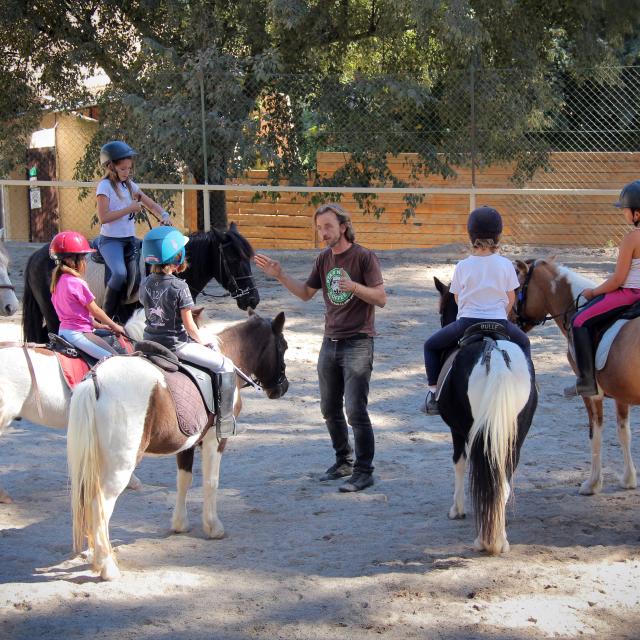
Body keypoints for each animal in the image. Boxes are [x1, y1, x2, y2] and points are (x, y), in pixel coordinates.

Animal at [67, 310, 288, 580]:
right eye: (283, 346)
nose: (283, 387)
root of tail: (96, 381)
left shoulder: (188, 444)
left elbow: (184, 480)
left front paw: (180, 524)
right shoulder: (215, 440)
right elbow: (210, 482)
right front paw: (213, 526)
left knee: (87, 502)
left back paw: (94, 555)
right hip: (119, 467)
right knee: (100, 506)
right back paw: (107, 565)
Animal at [432, 278, 536, 556]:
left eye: (442, 309)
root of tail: (497, 356)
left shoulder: (457, 430)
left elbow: (459, 462)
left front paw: (457, 510)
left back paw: (484, 540)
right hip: (514, 435)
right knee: (503, 481)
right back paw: (499, 539)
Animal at [512, 258, 636, 496]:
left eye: (516, 289)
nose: (509, 319)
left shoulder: (591, 394)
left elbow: (595, 434)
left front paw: (592, 483)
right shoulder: (620, 393)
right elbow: (623, 432)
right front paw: (628, 479)